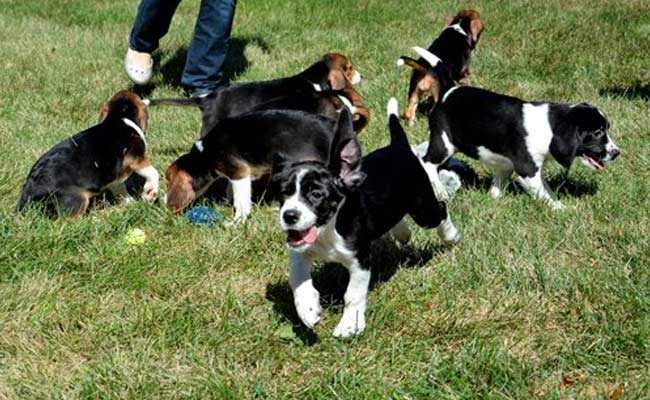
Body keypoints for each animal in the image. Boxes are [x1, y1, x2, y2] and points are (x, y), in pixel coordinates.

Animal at [270, 97, 458, 338]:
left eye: (316, 194)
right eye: (284, 193)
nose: (289, 216)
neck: (328, 230)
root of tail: (398, 147)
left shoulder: (359, 259)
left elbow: (353, 293)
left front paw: (350, 323)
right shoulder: (300, 250)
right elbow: (297, 279)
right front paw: (308, 309)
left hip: (423, 208)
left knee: (440, 210)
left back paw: (451, 236)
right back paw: (403, 232)